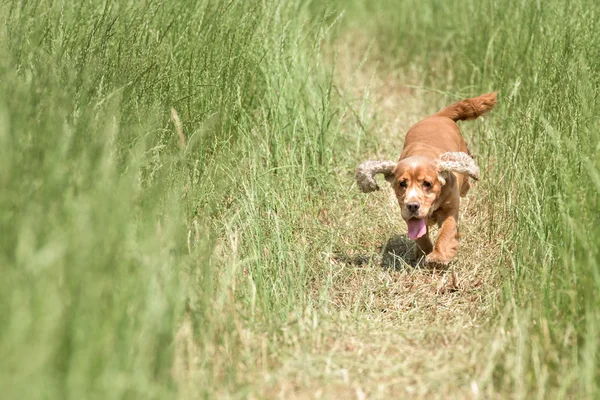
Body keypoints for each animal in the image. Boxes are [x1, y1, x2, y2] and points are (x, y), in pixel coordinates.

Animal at [356, 92, 496, 264]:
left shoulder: (450, 208)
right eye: (402, 184)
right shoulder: (406, 212)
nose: (412, 206)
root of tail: (438, 116)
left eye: (427, 184)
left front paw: (438, 256)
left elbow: (447, 231)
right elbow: (420, 235)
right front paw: (424, 252)